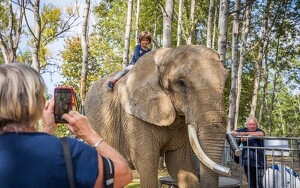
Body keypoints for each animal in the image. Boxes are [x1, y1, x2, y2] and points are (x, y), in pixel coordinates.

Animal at [84, 44, 230, 187]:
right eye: (181, 83)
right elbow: (147, 165)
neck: (165, 55)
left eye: (226, 80)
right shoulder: (133, 116)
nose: (229, 171)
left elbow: (179, 164)